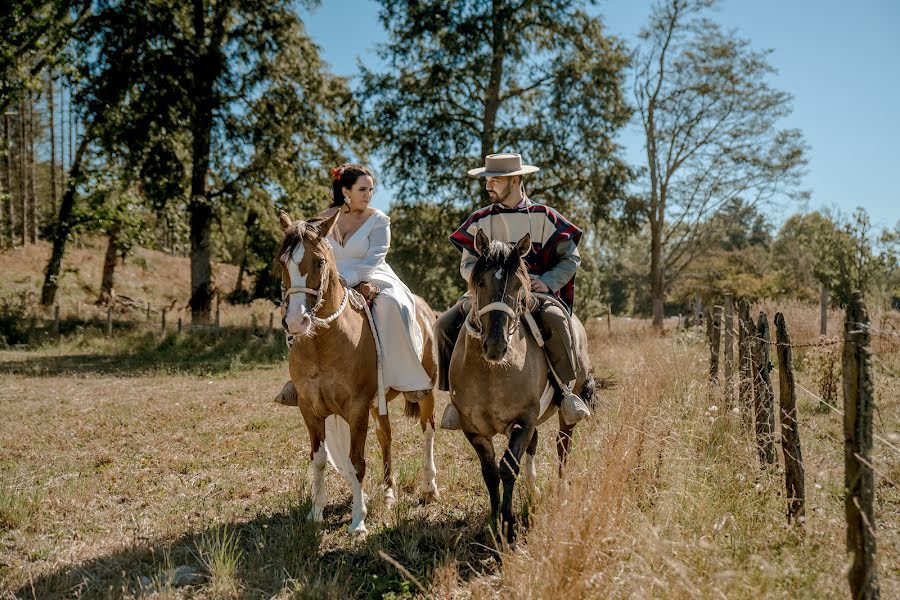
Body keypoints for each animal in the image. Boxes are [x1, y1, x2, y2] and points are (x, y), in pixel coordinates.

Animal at [278, 210, 440, 536]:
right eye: (282, 261)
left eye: (319, 262)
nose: (296, 322)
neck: (323, 341)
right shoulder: (309, 408)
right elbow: (318, 459)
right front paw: (315, 513)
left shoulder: (356, 408)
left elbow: (356, 461)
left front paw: (358, 520)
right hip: (378, 404)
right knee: (386, 436)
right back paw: (389, 492)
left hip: (425, 391)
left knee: (428, 429)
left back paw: (430, 487)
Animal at [446, 230, 596, 544]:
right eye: (480, 282)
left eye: (518, 284)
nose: (495, 345)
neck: (491, 372)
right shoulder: (474, 430)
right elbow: (490, 472)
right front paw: (494, 521)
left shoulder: (522, 421)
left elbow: (507, 468)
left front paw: (508, 522)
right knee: (535, 445)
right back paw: (532, 489)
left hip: (564, 414)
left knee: (563, 446)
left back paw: (560, 492)